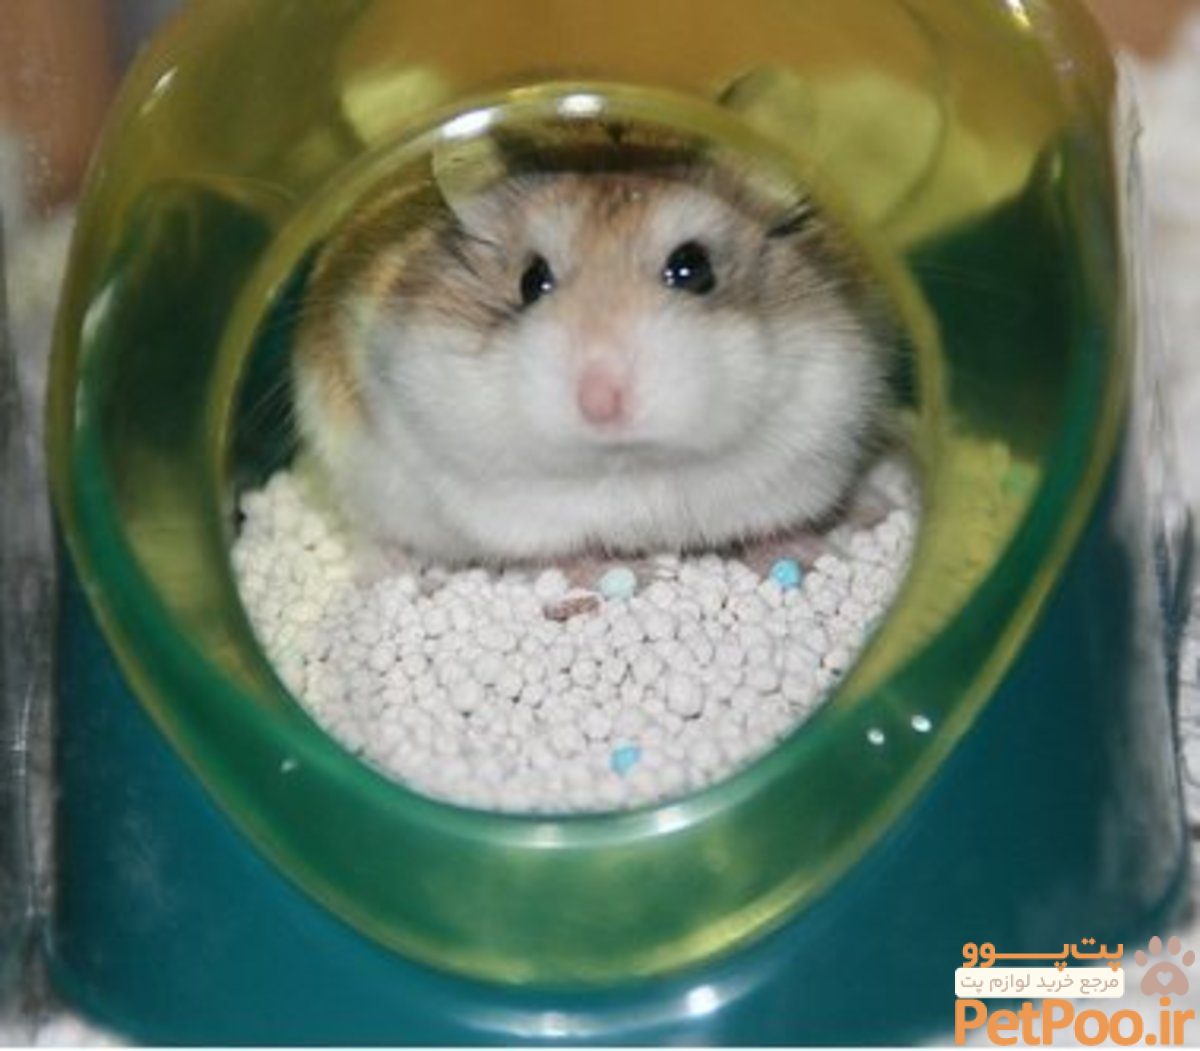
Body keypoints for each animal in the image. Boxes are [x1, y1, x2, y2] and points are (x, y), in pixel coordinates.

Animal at [293, 159, 890, 565]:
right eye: (531, 281)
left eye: (693, 268)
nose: (601, 403)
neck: (631, 460)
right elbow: (566, 547)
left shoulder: (802, 455)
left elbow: (769, 524)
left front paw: (813, 552)